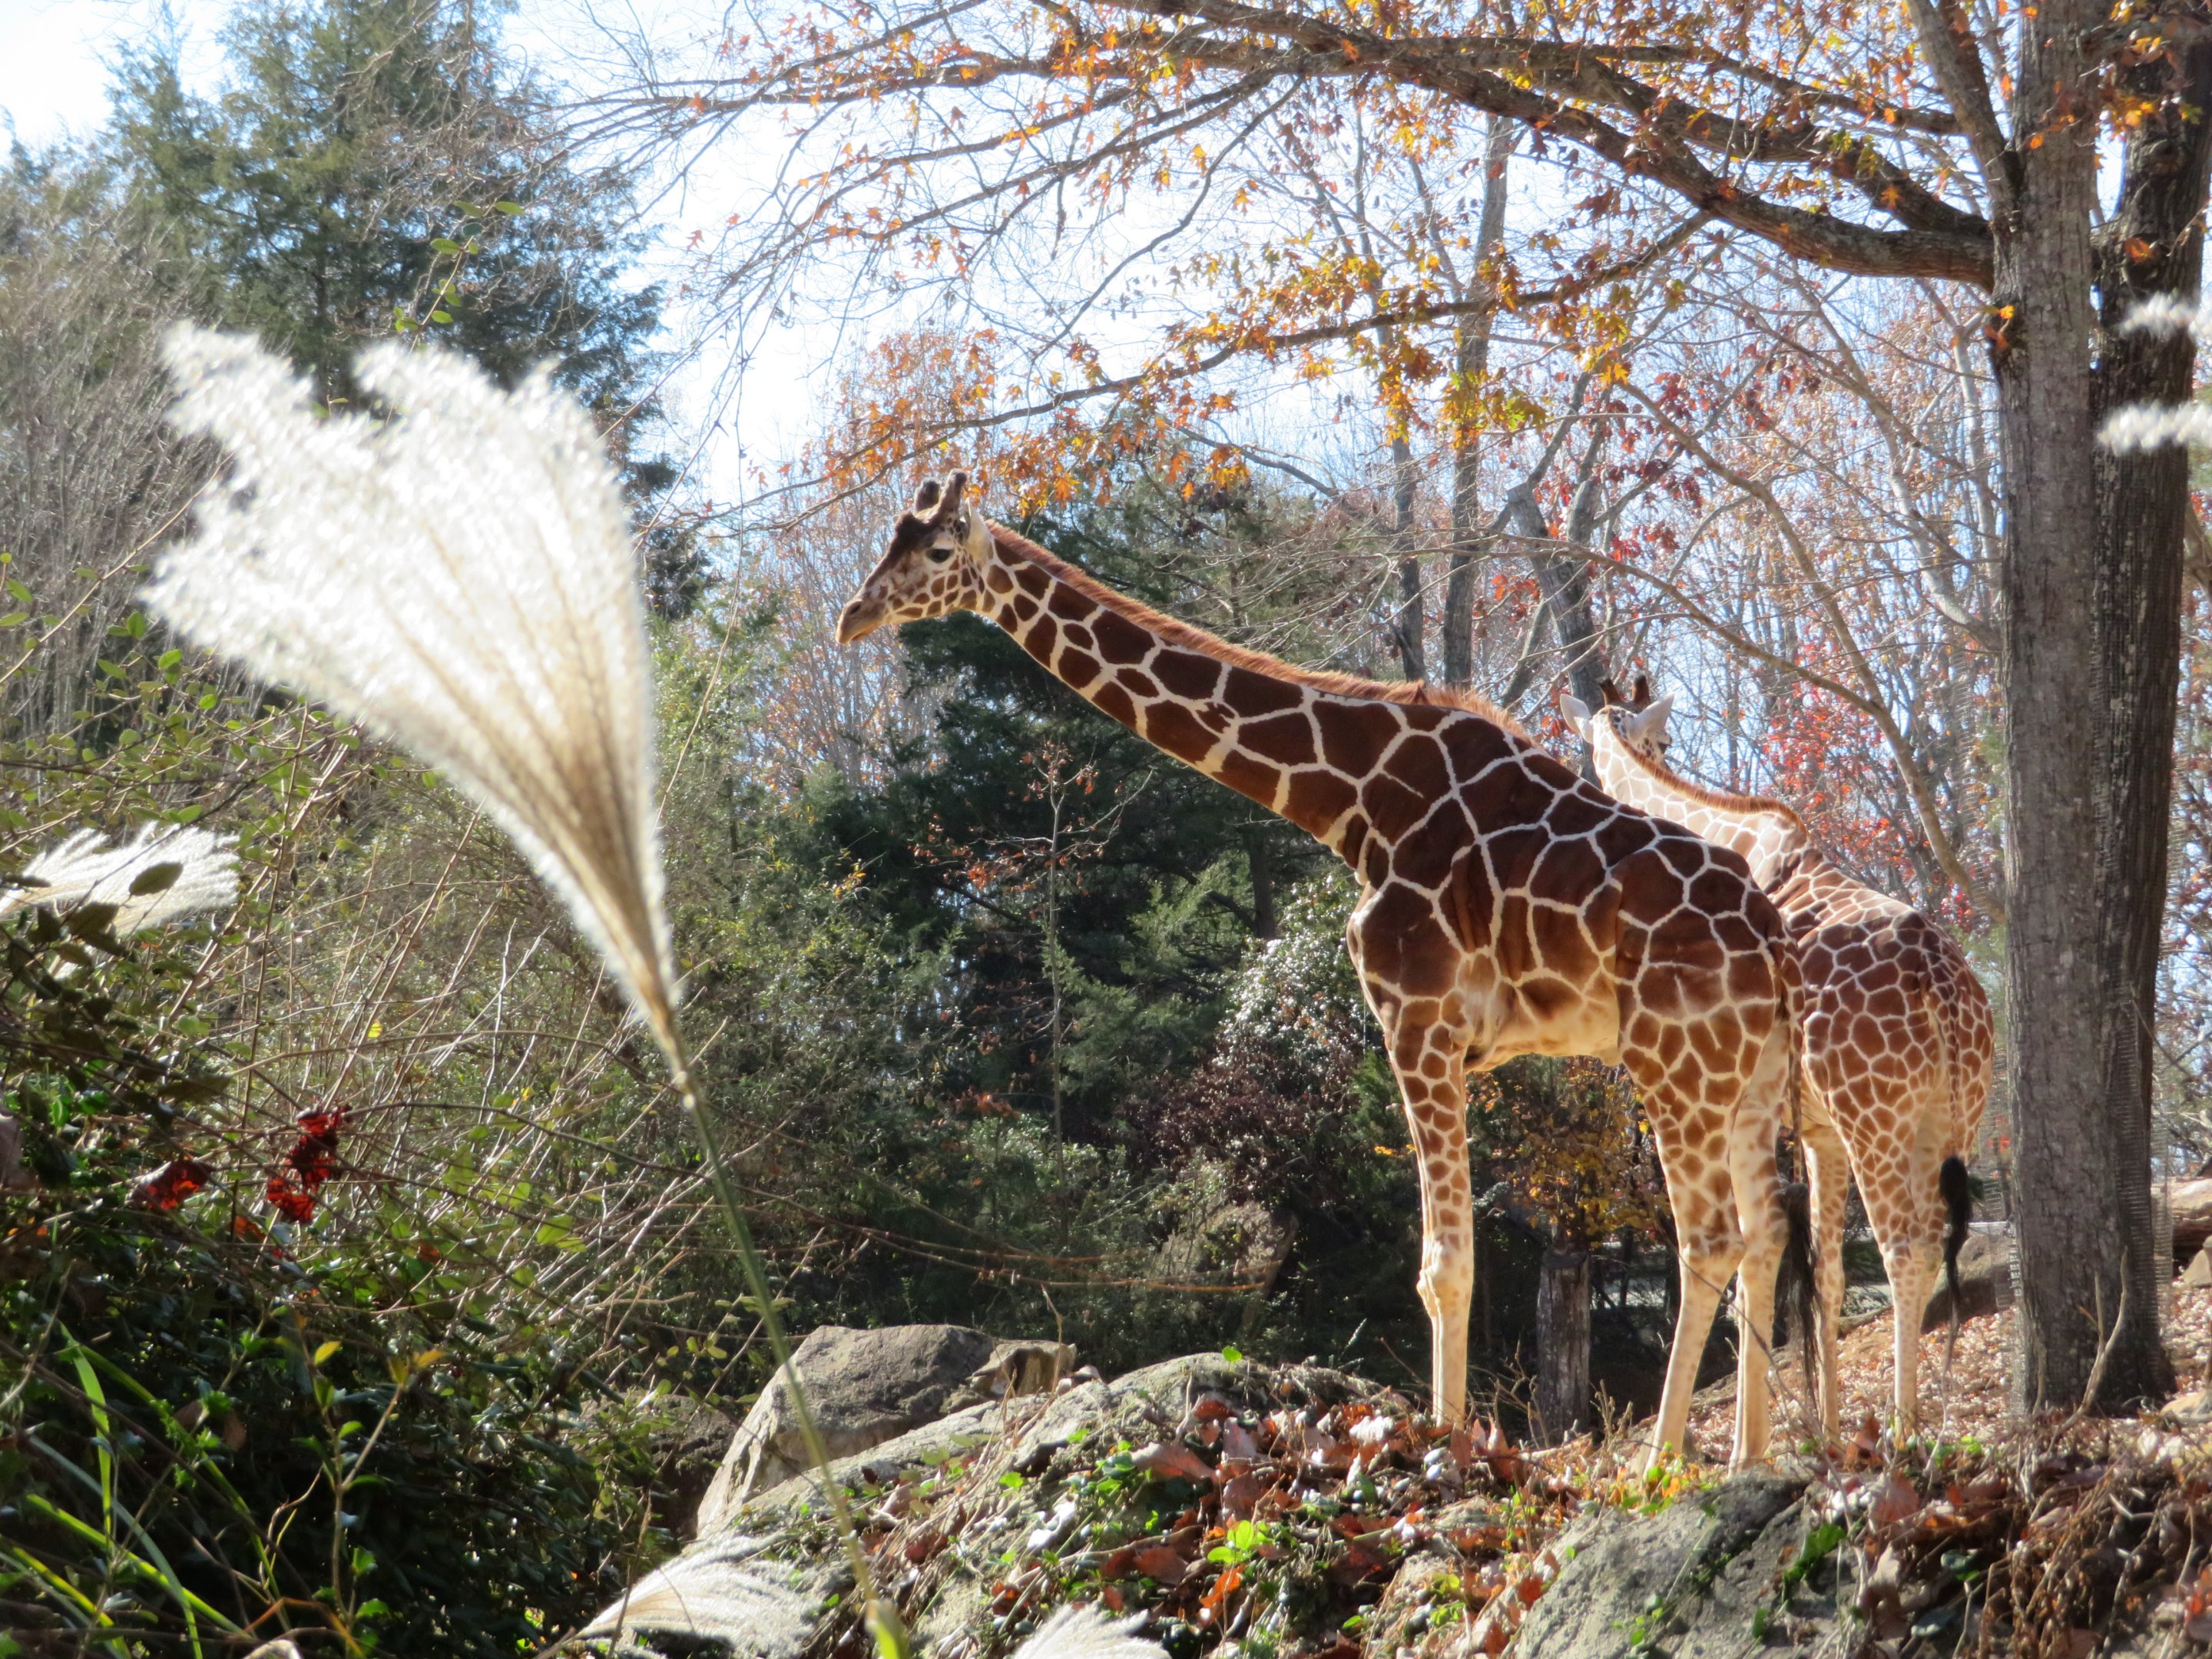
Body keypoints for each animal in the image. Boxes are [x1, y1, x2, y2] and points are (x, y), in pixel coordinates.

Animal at [838, 473, 1811, 1466]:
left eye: (938, 551)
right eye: (887, 543)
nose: (851, 616)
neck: (1354, 798)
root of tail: (1773, 946)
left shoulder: (1417, 1019)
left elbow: (1444, 1266)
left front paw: (1445, 1450)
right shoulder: (1450, 1040)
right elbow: (1449, 1261)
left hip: (1674, 1063)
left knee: (1709, 1240)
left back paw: (1662, 1465)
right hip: (1751, 1078)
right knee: (1766, 1233)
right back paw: (1748, 1455)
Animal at [1561, 675, 1995, 1437]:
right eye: (1664, 739)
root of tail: (1944, 991)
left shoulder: (1751, 1105)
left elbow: (1754, 1257)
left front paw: (1755, 1440)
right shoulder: (1817, 1130)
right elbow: (1824, 1271)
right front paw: (1826, 1429)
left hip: (1877, 1120)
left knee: (1905, 1250)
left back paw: (1904, 1426)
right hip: (1952, 1121)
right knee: (1933, 1242)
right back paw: (1927, 1410)